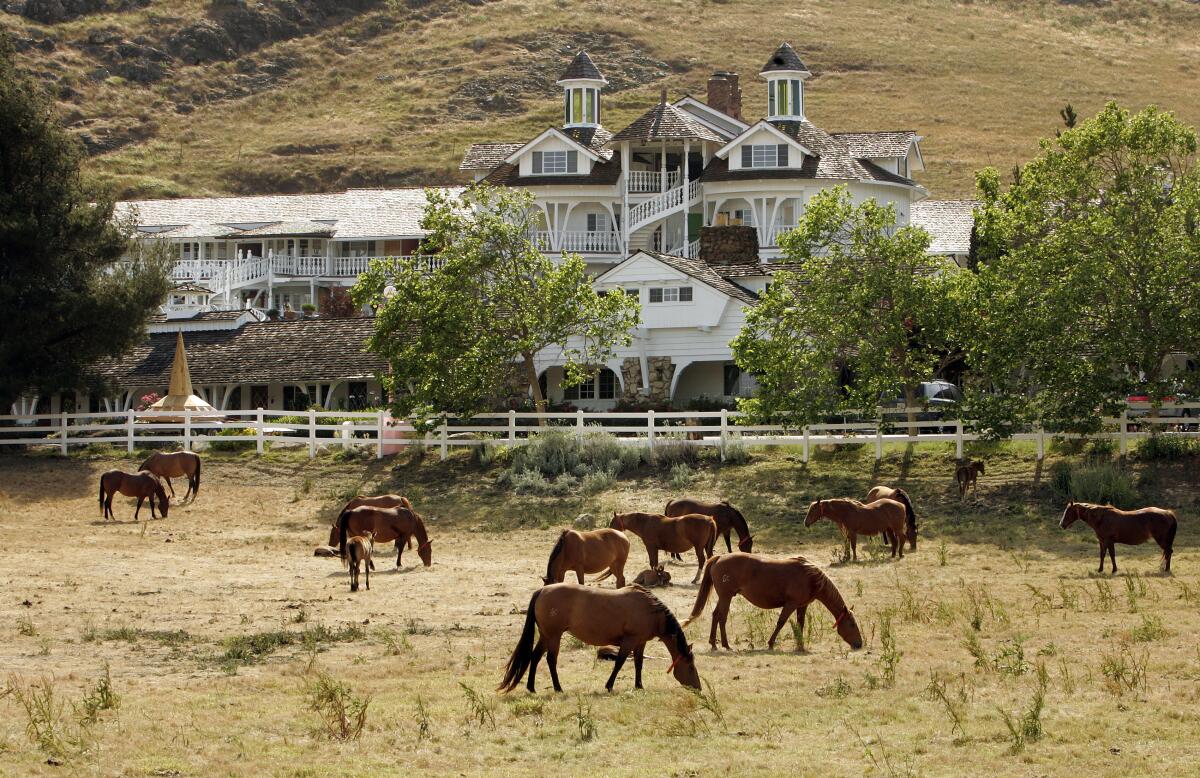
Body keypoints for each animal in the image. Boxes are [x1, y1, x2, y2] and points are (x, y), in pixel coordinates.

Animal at [499, 583, 700, 691]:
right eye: (690, 667)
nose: (698, 688)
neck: (650, 609)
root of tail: (542, 590)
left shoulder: (640, 642)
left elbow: (638, 663)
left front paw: (639, 685)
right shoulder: (629, 641)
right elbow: (619, 663)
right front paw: (609, 685)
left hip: (546, 636)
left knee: (535, 657)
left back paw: (531, 688)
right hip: (554, 636)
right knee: (550, 660)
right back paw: (557, 688)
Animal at [686, 549, 864, 653]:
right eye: (852, 624)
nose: (859, 644)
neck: (810, 576)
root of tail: (719, 557)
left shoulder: (802, 606)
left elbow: (800, 624)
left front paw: (800, 645)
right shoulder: (791, 604)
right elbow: (781, 622)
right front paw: (771, 643)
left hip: (725, 597)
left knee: (716, 615)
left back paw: (714, 643)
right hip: (726, 597)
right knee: (721, 617)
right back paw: (725, 645)